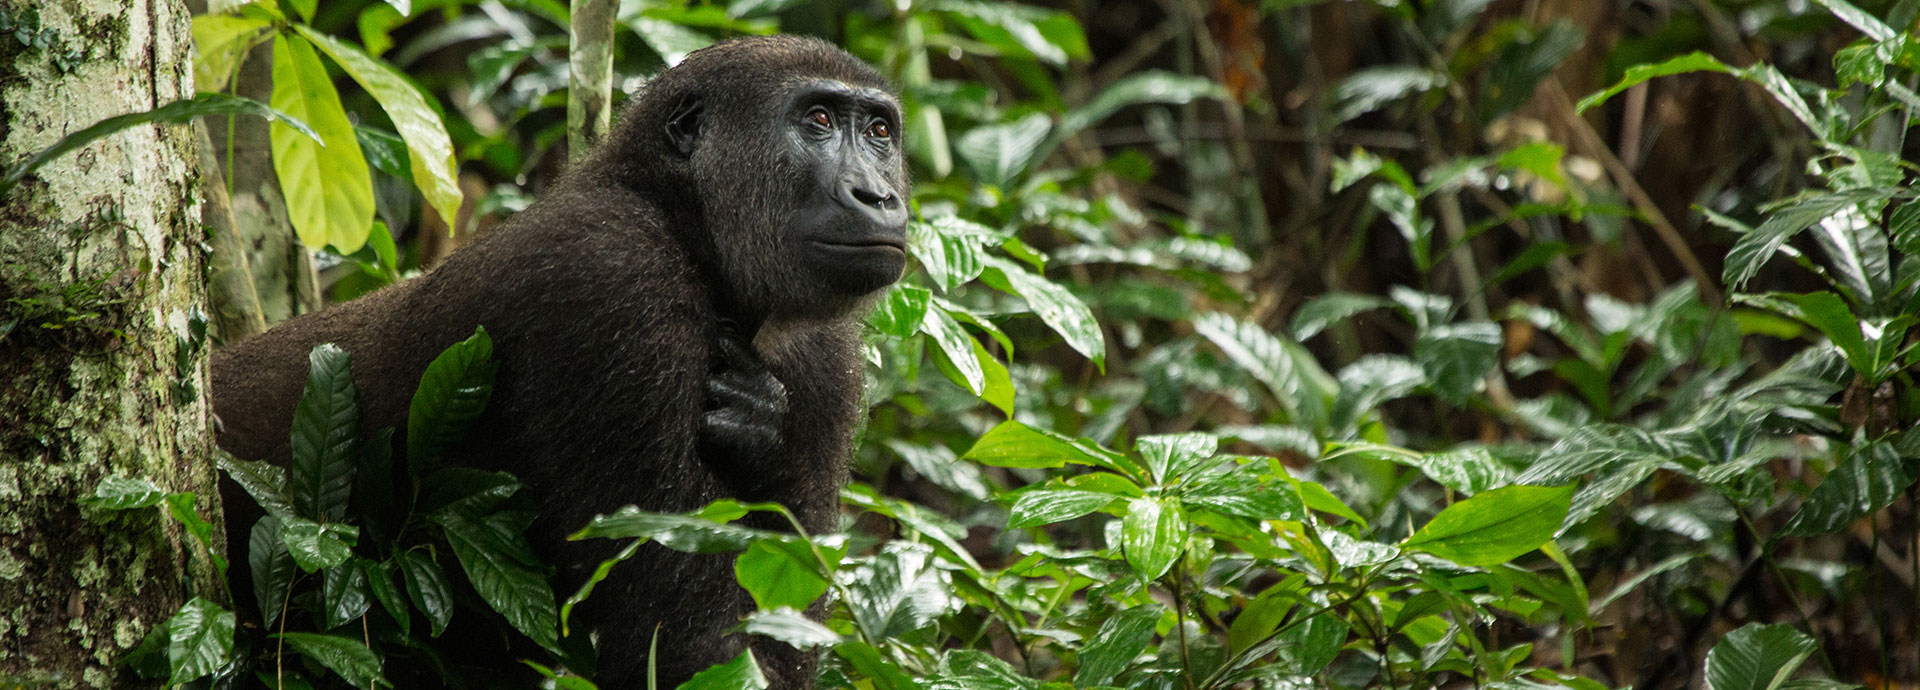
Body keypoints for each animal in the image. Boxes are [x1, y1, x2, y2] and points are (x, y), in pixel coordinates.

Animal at [211, 36, 909, 688]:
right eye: (818, 120)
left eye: (879, 133)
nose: (878, 196)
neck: (684, 223)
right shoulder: (608, 277)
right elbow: (694, 637)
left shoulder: (827, 359)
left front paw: (764, 429)